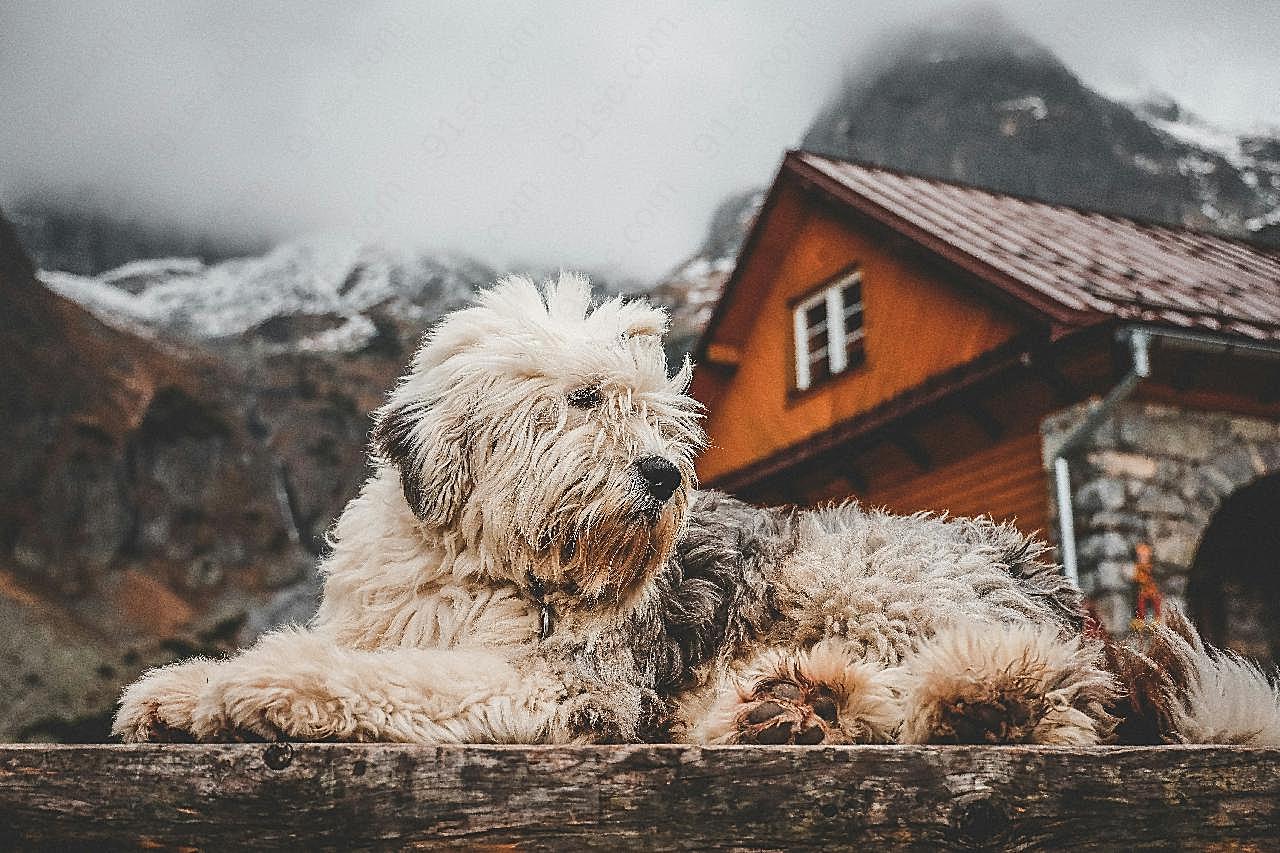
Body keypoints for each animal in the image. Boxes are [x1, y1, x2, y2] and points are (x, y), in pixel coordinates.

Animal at [115, 274, 1274, 742]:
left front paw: (241, 685)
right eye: (585, 399)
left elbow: (374, 676)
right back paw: (789, 707)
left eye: (659, 413)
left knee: (1040, 698)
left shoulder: (562, 681)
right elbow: (353, 654)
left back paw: (942, 698)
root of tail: (1050, 586)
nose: (664, 476)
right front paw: (181, 691)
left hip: (852, 570)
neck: (477, 563)